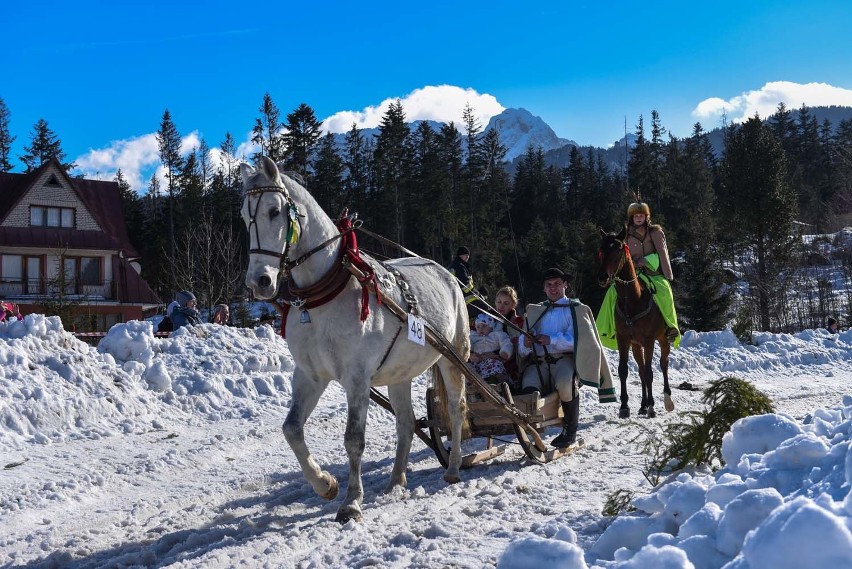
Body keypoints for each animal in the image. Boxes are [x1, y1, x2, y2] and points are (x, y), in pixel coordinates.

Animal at [240, 156, 470, 524]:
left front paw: (351, 501)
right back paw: (396, 480)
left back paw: (452, 468)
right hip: (399, 373)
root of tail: (444, 271)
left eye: (275, 211)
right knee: (406, 423)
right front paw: (325, 484)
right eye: (244, 216)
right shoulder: (310, 375)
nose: (259, 281)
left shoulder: (357, 378)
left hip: (454, 357)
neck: (323, 294)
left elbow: (353, 440)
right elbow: (291, 429)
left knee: (456, 408)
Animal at [600, 225, 672, 418]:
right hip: (636, 345)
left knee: (663, 364)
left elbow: (649, 372)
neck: (633, 300)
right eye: (601, 251)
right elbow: (624, 370)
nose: (603, 277)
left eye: (618, 249)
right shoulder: (624, 339)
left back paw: (666, 399)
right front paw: (624, 406)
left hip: (663, 339)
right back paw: (643, 405)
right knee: (640, 371)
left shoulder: (649, 341)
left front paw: (653, 406)